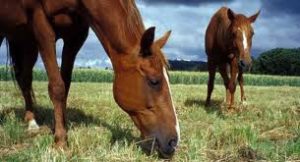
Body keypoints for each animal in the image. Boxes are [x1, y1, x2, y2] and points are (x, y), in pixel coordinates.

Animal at [0, 0, 178, 158]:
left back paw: (31, 121)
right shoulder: (41, 24)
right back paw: (31, 122)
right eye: (154, 81)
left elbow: (65, 85)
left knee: (25, 79)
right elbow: (57, 87)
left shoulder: (75, 36)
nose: (173, 142)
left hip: (26, 41)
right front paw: (61, 142)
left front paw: (60, 127)